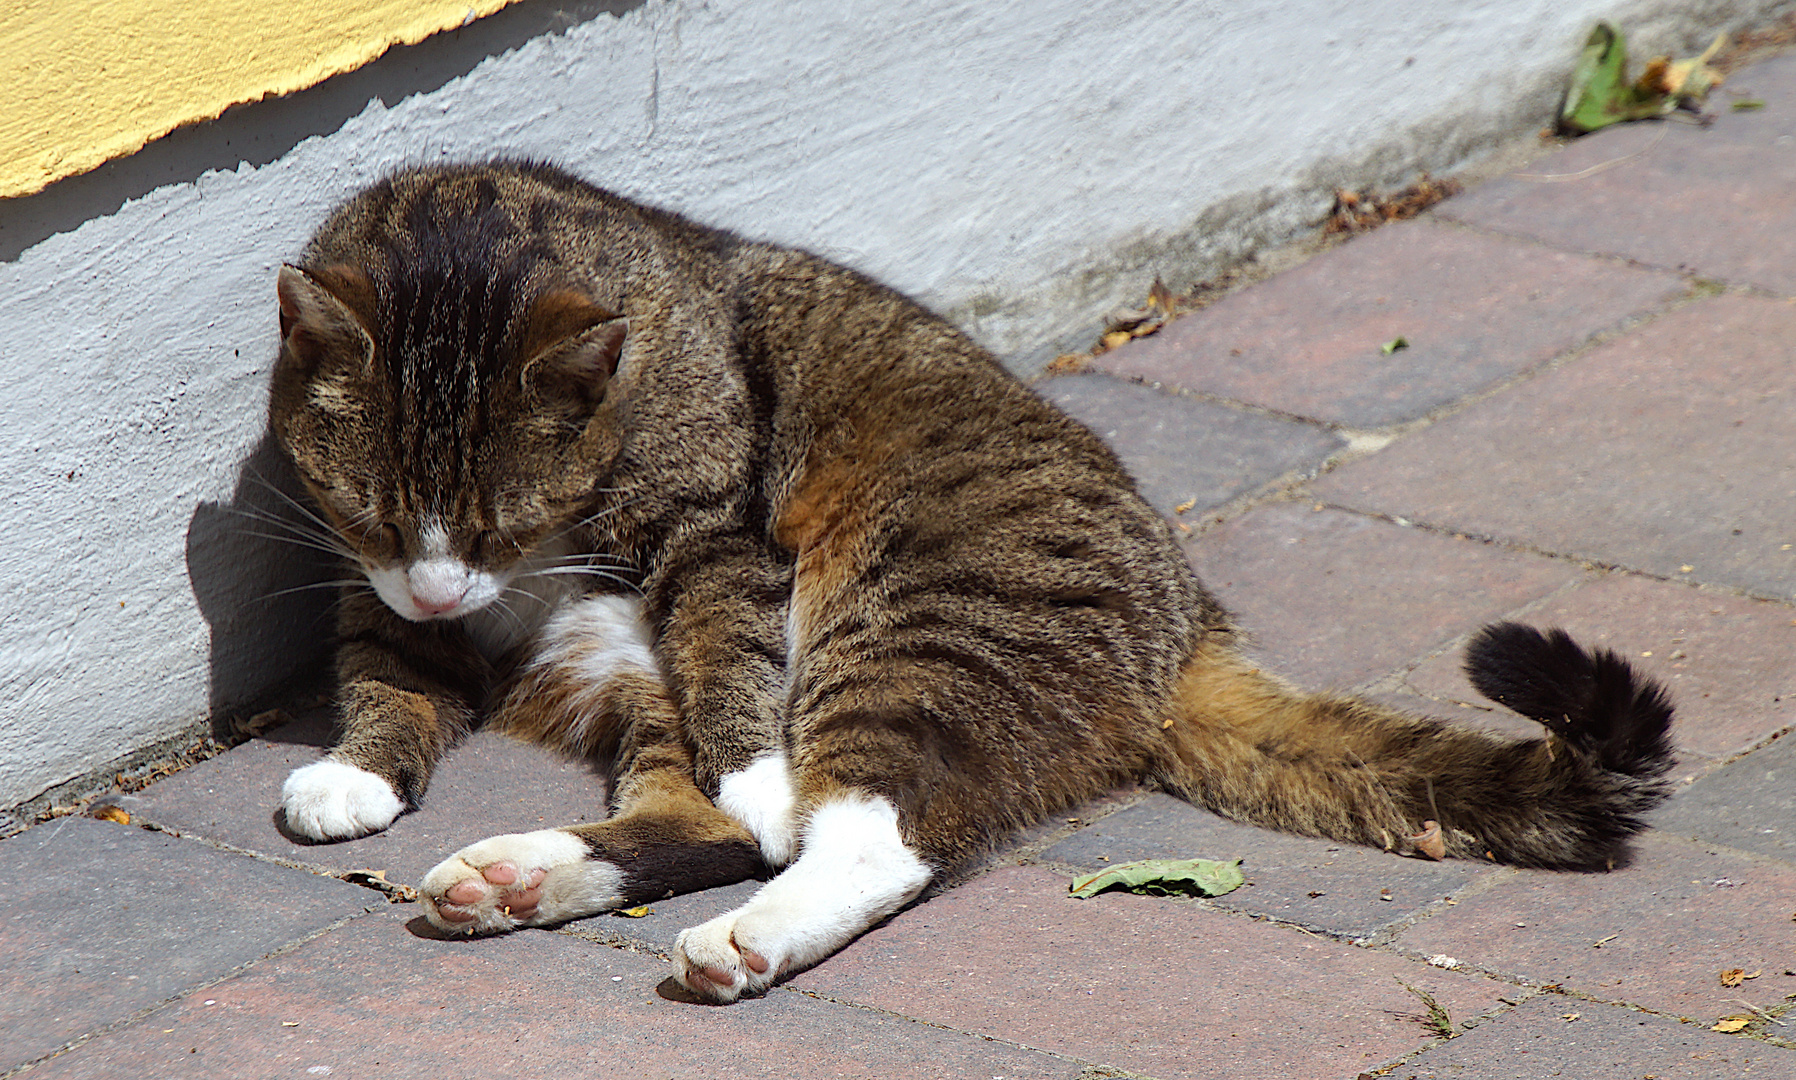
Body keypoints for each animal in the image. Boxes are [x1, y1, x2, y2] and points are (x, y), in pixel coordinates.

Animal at [272, 159, 1673, 999]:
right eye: (368, 509)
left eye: (508, 520)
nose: (448, 591)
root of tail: (1190, 618)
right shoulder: (367, 575)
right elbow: (382, 664)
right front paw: (357, 769)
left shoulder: (724, 538)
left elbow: (733, 666)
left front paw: (760, 768)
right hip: (647, 674)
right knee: (703, 824)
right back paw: (528, 876)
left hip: (913, 621)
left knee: (863, 832)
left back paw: (749, 923)